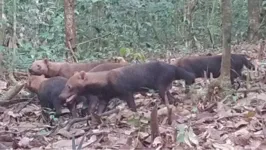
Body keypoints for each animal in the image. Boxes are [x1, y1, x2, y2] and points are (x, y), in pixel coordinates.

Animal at [58, 61, 195, 112]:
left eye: (69, 86)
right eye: (65, 85)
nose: (60, 96)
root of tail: (173, 67)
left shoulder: (127, 92)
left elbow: (132, 106)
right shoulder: (104, 98)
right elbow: (100, 111)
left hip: (160, 86)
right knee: (172, 97)